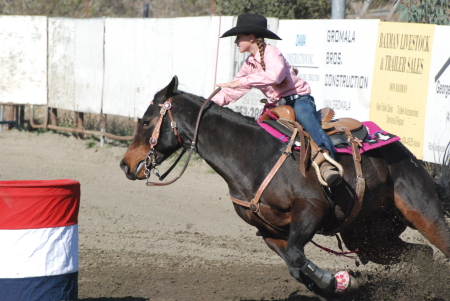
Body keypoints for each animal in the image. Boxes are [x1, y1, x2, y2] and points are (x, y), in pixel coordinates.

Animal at [121, 76, 450, 298]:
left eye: (147, 120)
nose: (126, 164)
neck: (254, 156)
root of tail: (409, 156)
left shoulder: (311, 210)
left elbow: (296, 255)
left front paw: (341, 280)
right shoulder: (270, 232)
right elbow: (295, 265)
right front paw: (338, 283)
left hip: (424, 214)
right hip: (371, 236)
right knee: (421, 254)